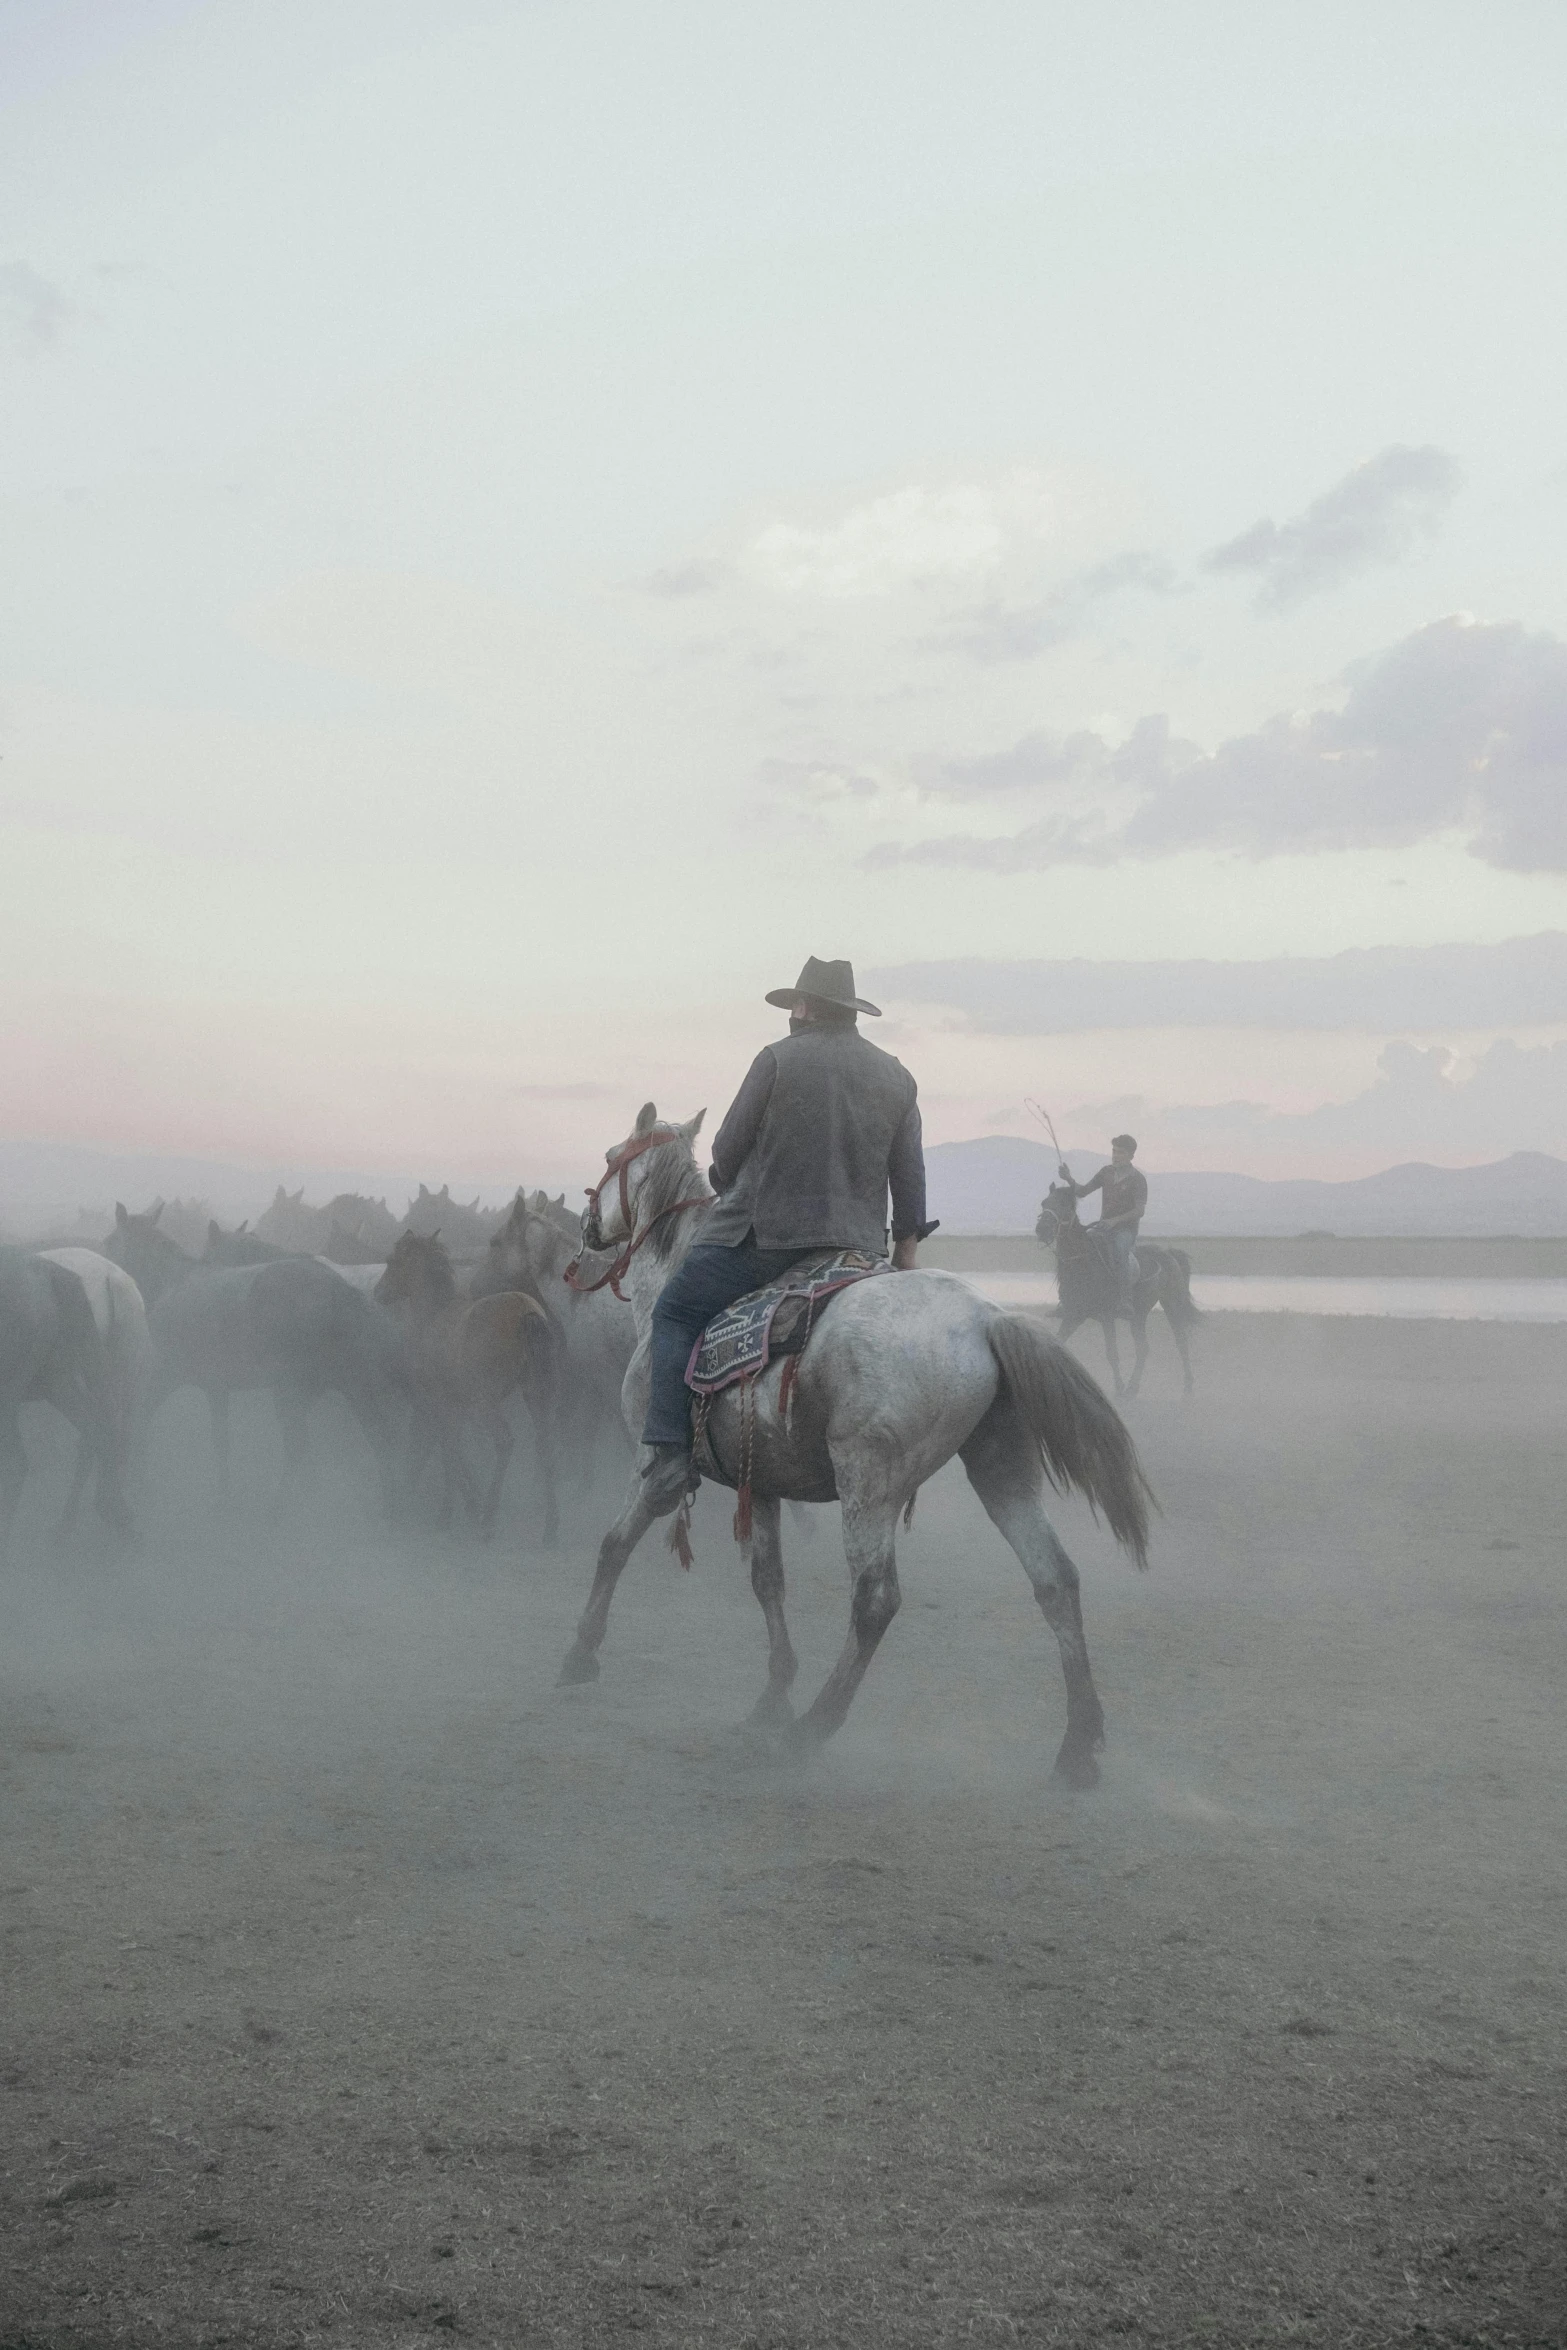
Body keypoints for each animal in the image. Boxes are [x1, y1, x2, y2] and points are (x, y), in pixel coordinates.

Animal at [103, 1203, 404, 1513]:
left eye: (110, 1241)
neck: (173, 1284)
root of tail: (341, 1292)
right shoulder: (216, 1387)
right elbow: (221, 1441)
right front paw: (223, 1494)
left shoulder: (166, 1375)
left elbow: (142, 1422)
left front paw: (137, 1484)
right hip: (352, 1386)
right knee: (381, 1439)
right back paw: (389, 1505)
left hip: (291, 1390)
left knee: (300, 1446)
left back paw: (277, 1508)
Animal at [373, 1231, 563, 1541]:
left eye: (393, 1260)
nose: (379, 1292)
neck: (435, 1316)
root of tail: (527, 1313)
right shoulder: (455, 1406)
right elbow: (454, 1448)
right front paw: (468, 1502)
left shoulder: (440, 1403)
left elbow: (448, 1449)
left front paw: (451, 1512)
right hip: (537, 1394)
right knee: (546, 1446)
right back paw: (550, 1528)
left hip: (486, 1403)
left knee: (504, 1442)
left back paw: (488, 1518)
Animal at [561, 1099, 1151, 1776]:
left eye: (611, 1157)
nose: (585, 1227)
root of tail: (987, 1320)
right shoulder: (760, 1480)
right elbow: (767, 1580)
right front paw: (772, 1696)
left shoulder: (656, 1464)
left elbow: (614, 1544)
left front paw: (580, 1655)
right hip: (1001, 1468)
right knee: (1055, 1579)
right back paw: (1078, 1746)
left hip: (869, 1483)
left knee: (875, 1599)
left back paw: (814, 1727)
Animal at [1033, 1193, 1212, 1391]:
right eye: (1044, 1203)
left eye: (1064, 1205)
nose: (1041, 1229)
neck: (1084, 1264)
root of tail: (1168, 1253)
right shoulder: (1074, 1315)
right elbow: (1058, 1342)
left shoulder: (1106, 1317)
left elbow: (1112, 1354)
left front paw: (1118, 1388)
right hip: (1138, 1315)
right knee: (1143, 1348)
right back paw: (1132, 1389)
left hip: (1172, 1305)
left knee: (1181, 1341)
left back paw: (1187, 1386)